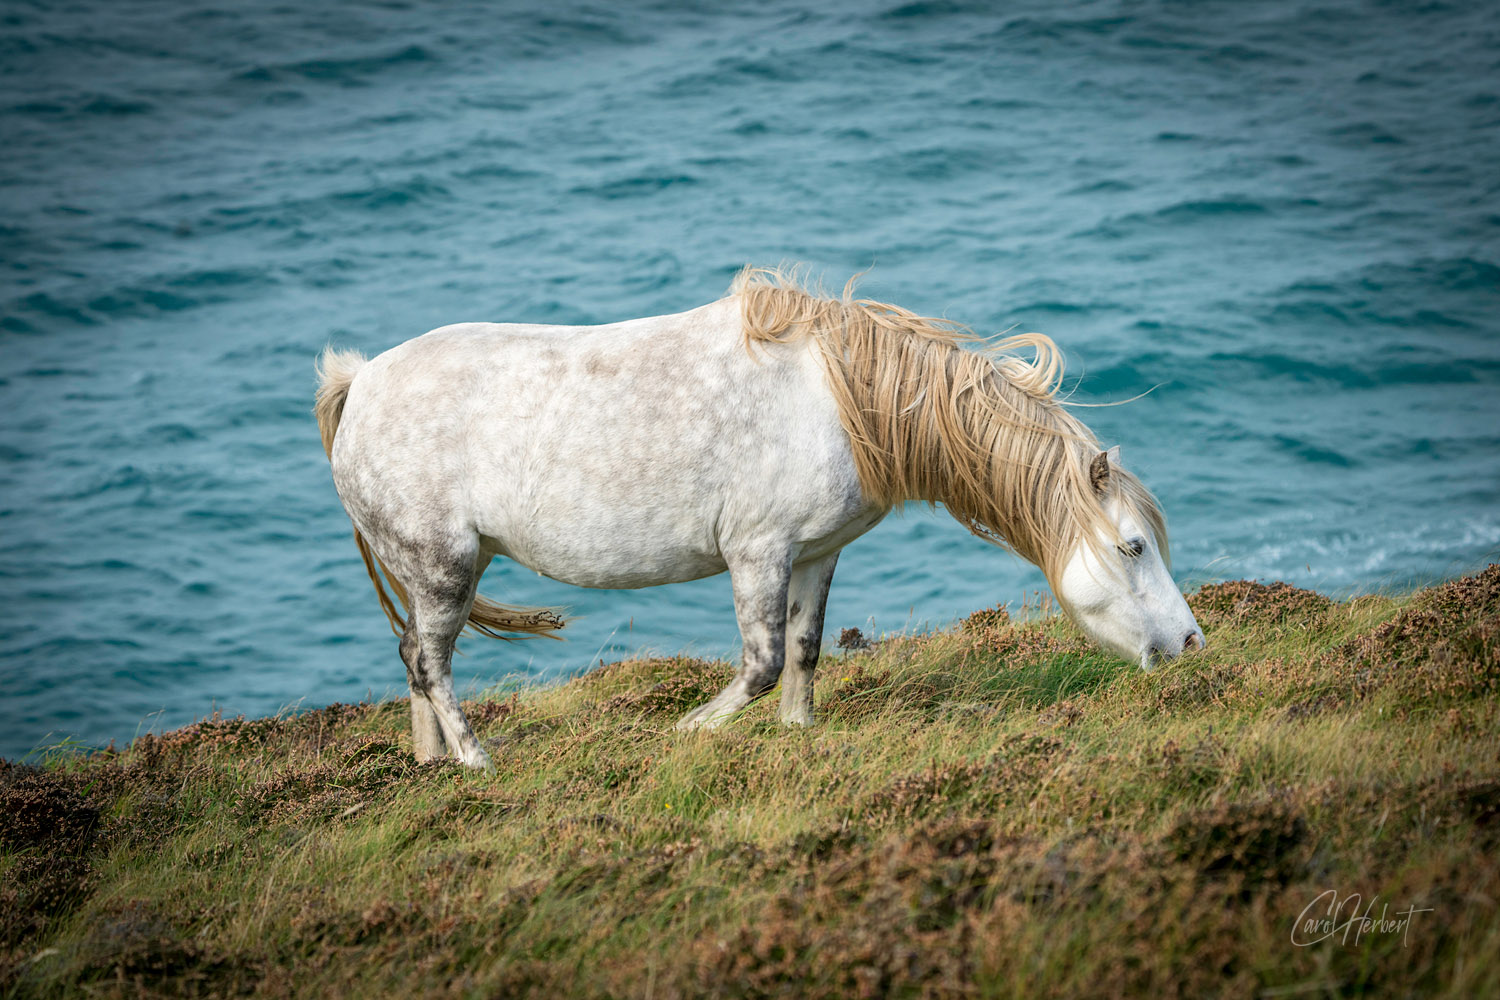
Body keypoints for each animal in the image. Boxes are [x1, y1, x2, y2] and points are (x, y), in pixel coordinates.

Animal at [316, 265, 1206, 767]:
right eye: (1133, 547)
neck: (844, 399)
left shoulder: (814, 554)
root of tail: (359, 384)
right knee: (432, 664)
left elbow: (805, 652)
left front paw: (798, 735)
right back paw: (475, 762)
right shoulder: (758, 552)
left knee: (412, 658)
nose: (1189, 643)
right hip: (444, 564)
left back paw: (431, 765)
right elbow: (762, 661)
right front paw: (691, 732)